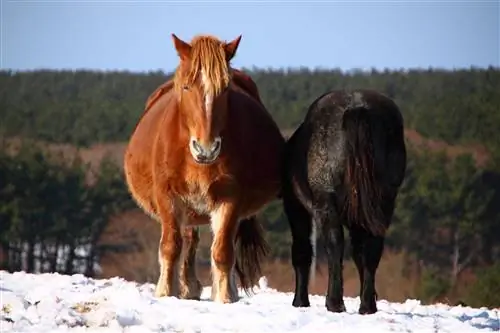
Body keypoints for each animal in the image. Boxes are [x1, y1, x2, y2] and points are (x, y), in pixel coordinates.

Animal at [124, 34, 286, 304]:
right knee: (188, 238)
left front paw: (225, 297)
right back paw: (187, 286)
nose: (206, 148)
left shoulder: (229, 197)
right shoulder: (167, 196)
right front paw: (165, 292)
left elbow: (222, 250)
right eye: (187, 87)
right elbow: (171, 246)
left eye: (225, 89)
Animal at [282, 89, 406, 314]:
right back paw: (367, 305)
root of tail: (358, 108)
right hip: (383, 203)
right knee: (371, 248)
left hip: (326, 203)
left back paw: (334, 302)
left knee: (334, 243)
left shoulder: (296, 207)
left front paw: (300, 301)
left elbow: (303, 251)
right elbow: (360, 253)